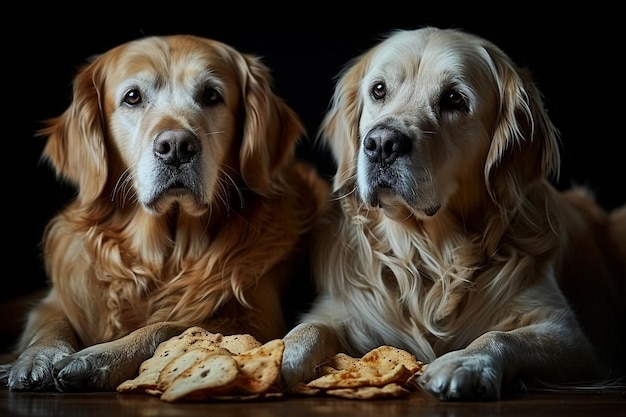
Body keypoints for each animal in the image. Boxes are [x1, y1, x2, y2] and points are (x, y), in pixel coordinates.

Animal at [0, 35, 330, 390]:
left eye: (211, 95)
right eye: (132, 97)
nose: (176, 147)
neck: (164, 257)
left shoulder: (258, 321)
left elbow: (168, 327)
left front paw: (98, 358)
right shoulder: (59, 298)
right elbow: (50, 325)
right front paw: (36, 359)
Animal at [282, 26, 624, 400]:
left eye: (454, 99)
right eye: (378, 90)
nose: (382, 144)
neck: (432, 255)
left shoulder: (570, 336)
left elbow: (500, 335)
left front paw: (465, 363)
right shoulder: (345, 310)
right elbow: (310, 326)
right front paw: (280, 356)